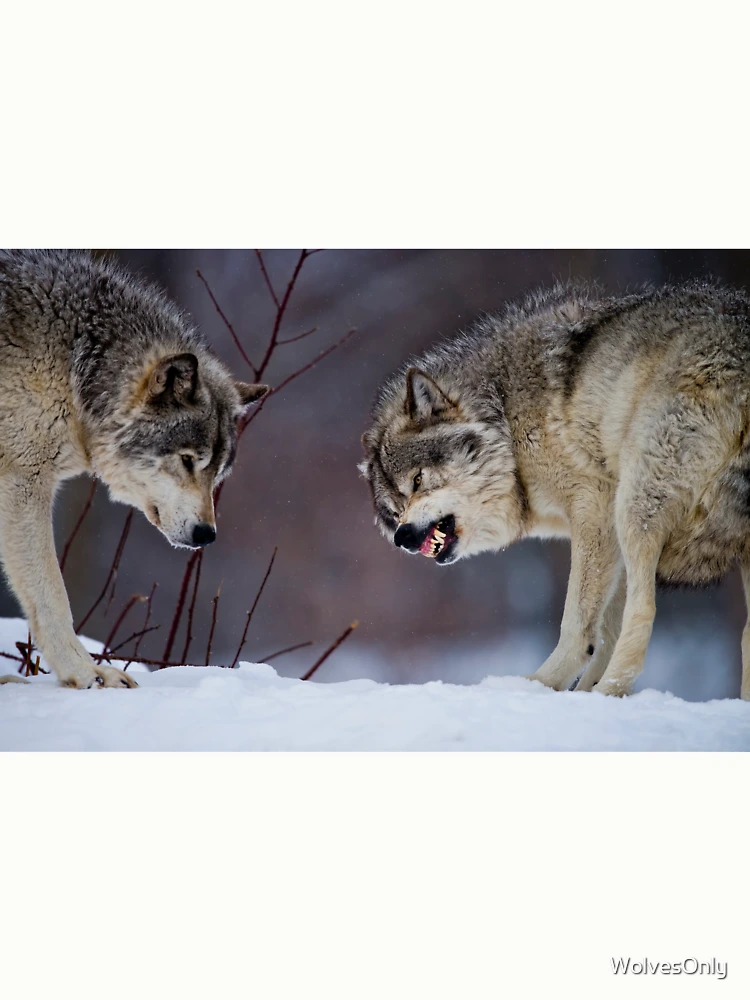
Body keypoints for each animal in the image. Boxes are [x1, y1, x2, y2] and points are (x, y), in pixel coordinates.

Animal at [0, 249, 268, 689]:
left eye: (218, 473)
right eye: (188, 460)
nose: (207, 535)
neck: (75, 362)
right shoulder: (23, 480)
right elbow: (51, 594)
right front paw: (85, 673)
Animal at [360, 280, 750, 699]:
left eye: (417, 481)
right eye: (395, 509)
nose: (402, 537)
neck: (505, 416)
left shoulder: (597, 507)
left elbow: (580, 625)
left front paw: (539, 688)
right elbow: (605, 631)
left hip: (635, 508)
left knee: (644, 610)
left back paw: (605, 693)